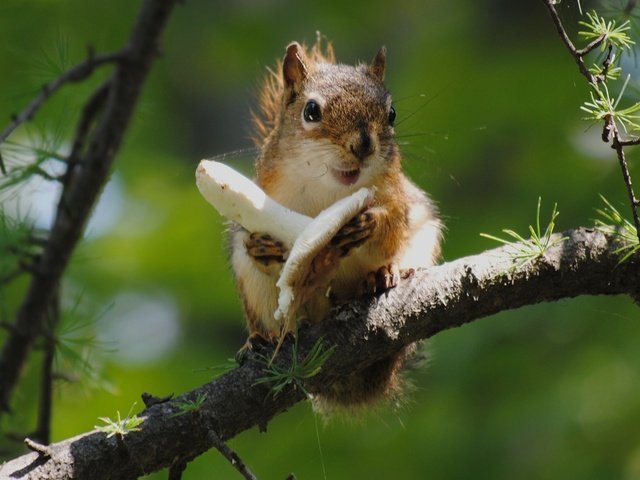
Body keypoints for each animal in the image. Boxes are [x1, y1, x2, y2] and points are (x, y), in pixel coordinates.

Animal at [231, 36, 444, 408]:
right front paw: (261, 246)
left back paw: (383, 275)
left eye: (391, 114)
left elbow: (393, 224)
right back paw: (262, 338)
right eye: (311, 111)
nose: (363, 145)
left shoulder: (397, 195)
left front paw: (372, 223)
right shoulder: (267, 197)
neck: (330, 189)